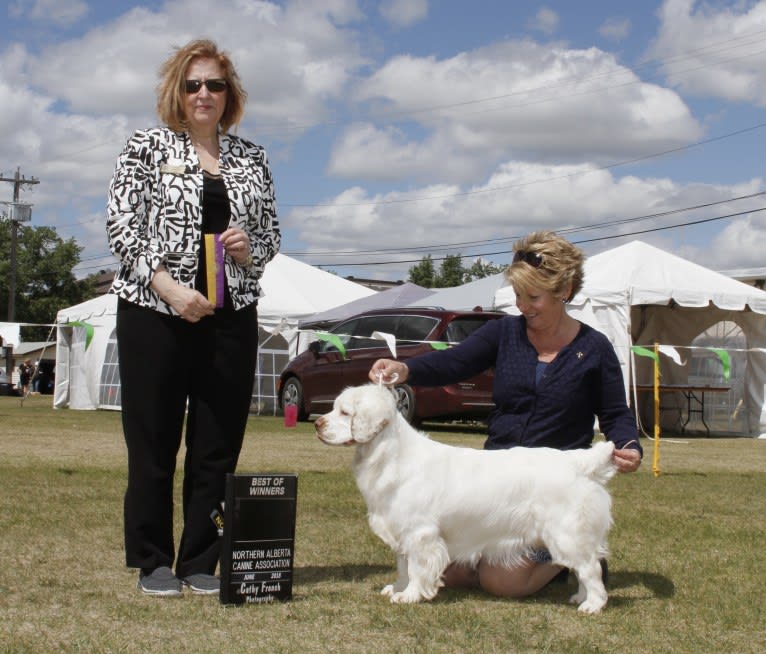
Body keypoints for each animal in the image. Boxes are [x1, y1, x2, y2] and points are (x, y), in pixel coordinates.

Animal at [316, 384, 620, 616]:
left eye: (345, 412)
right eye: (335, 408)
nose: (317, 423)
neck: (392, 455)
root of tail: (578, 462)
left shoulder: (420, 534)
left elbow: (416, 568)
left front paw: (410, 595)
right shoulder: (401, 532)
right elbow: (403, 566)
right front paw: (398, 588)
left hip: (566, 535)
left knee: (590, 568)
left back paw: (592, 604)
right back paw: (580, 597)